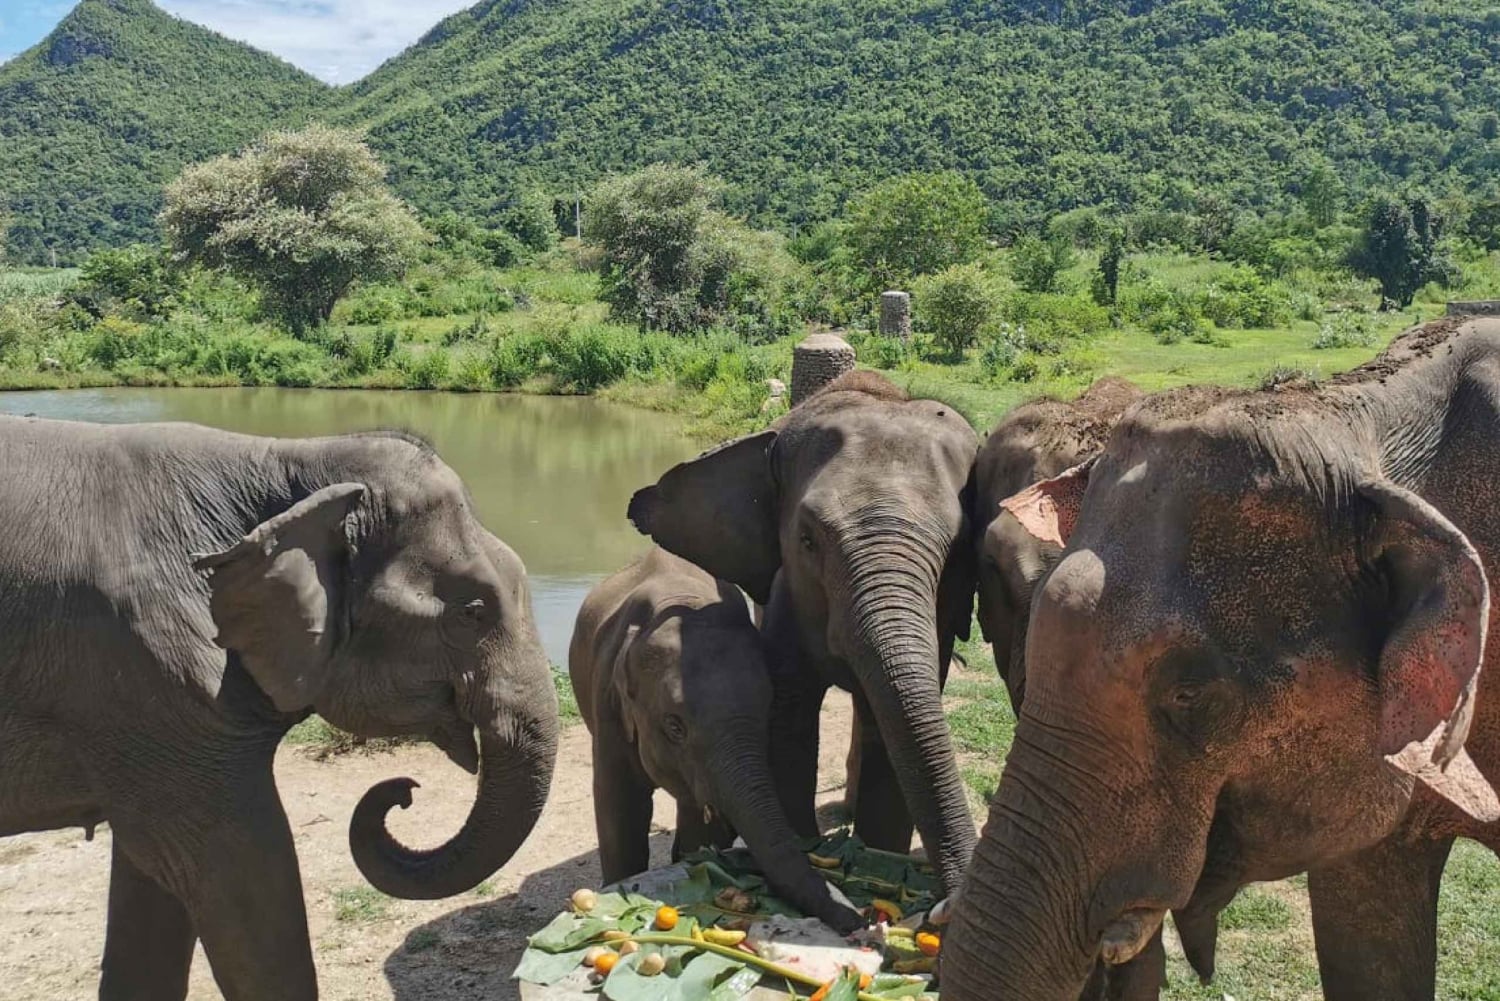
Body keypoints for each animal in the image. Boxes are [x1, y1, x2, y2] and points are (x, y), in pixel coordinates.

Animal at [0, 418, 560, 1001]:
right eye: (472, 612)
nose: (404, 791)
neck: (287, 460)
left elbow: (154, 884)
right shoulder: (148, 675)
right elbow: (240, 871)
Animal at [569, 546, 865, 933]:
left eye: (768, 709)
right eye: (674, 726)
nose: (859, 918)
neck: (680, 601)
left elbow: (698, 818)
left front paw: (697, 858)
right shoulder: (607, 705)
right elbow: (620, 803)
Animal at [629, 369, 980, 897]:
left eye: (958, 546)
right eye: (807, 540)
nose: (949, 897)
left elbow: (893, 725)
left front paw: (878, 856)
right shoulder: (783, 598)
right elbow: (791, 716)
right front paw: (811, 849)